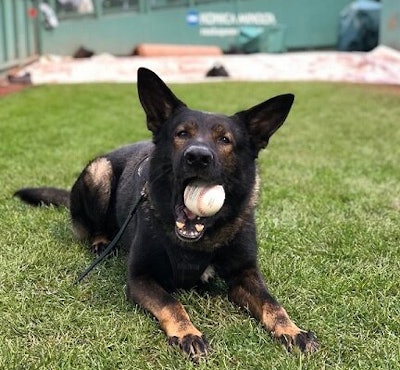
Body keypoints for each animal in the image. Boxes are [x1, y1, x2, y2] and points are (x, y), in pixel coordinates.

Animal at [14, 68, 318, 360]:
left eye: (225, 140)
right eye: (182, 134)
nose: (198, 157)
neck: (198, 243)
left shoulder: (245, 274)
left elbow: (272, 304)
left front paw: (292, 330)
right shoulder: (140, 278)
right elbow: (172, 302)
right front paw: (187, 333)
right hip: (99, 172)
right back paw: (101, 242)